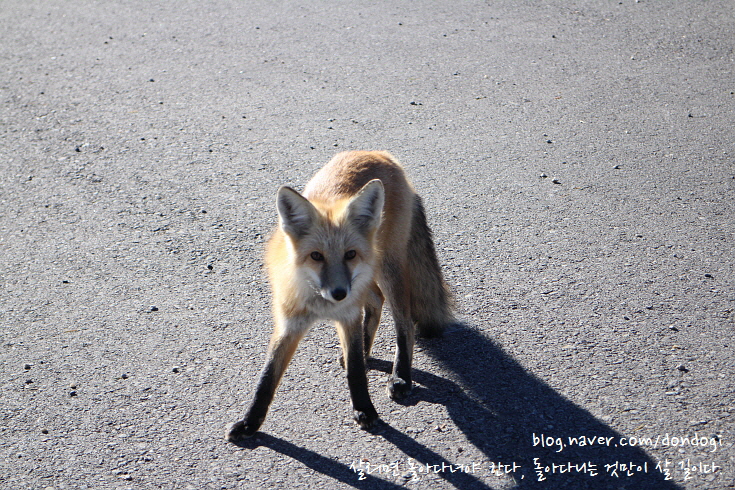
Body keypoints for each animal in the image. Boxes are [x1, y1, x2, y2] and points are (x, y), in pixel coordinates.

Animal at [227, 151, 454, 442]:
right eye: (316, 256)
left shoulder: (348, 315)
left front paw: (365, 410)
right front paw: (250, 423)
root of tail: (378, 153)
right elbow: (266, 378)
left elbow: (356, 371)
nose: (338, 293)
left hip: (386, 269)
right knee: (376, 301)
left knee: (404, 323)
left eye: (349, 254)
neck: (320, 306)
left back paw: (400, 376)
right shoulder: (289, 324)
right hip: (366, 280)